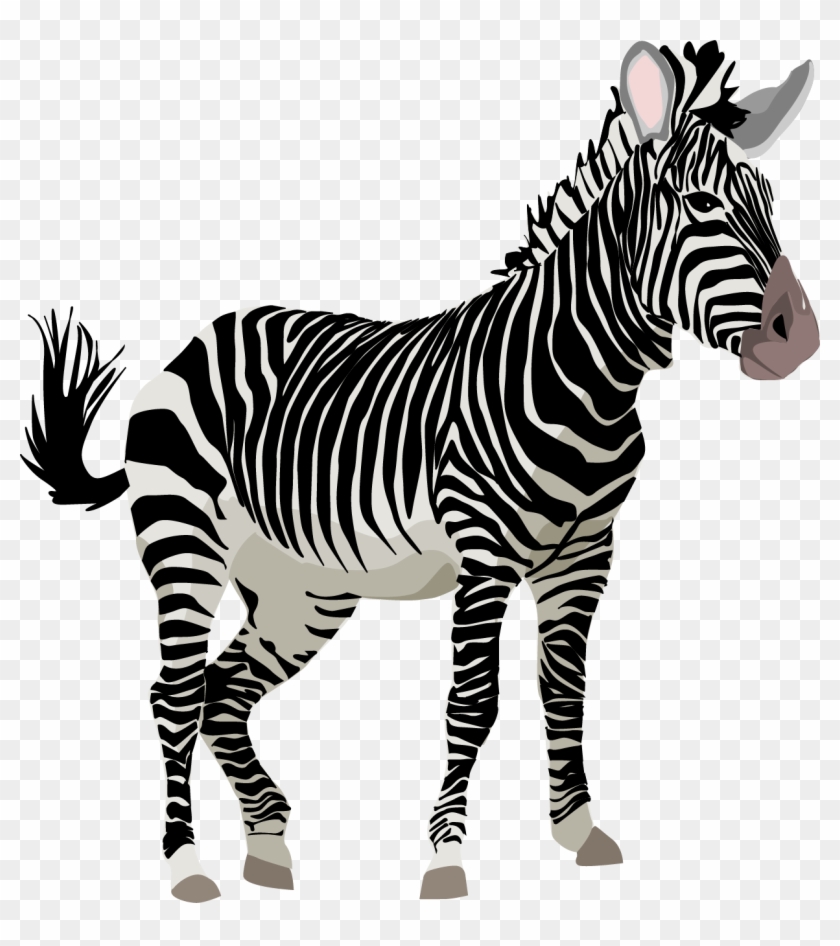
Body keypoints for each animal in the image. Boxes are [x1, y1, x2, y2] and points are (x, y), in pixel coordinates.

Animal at [23, 41, 819, 902]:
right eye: (700, 205)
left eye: (772, 202)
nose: (802, 337)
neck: (583, 382)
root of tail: (197, 340)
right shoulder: (485, 552)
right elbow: (473, 701)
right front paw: (447, 857)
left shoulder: (584, 557)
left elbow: (564, 689)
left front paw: (577, 827)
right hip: (185, 542)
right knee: (173, 694)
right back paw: (186, 864)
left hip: (303, 589)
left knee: (223, 690)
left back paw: (266, 842)